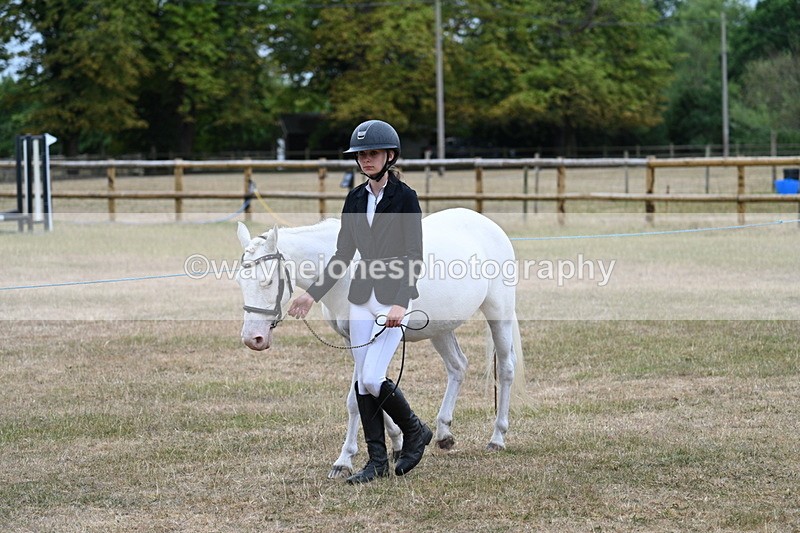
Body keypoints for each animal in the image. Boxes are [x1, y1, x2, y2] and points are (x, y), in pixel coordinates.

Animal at [235, 207, 525, 479]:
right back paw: (444, 433)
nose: (253, 339)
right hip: (440, 329)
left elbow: (356, 399)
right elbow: (372, 390)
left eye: (268, 281)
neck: (348, 274)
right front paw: (398, 443)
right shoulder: (354, 342)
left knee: (506, 370)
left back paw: (497, 438)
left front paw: (344, 461)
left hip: (498, 315)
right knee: (458, 366)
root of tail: (486, 223)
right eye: (240, 280)